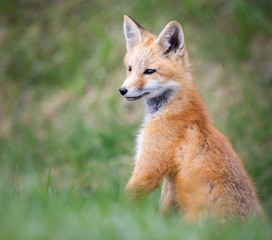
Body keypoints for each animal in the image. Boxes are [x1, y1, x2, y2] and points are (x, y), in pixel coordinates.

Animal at [118, 14, 262, 221]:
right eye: (130, 68)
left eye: (149, 71)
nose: (122, 90)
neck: (172, 111)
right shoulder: (170, 179)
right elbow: (163, 213)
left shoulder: (149, 167)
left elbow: (125, 201)